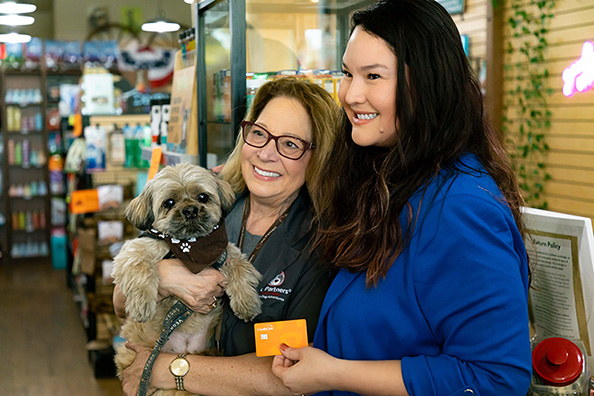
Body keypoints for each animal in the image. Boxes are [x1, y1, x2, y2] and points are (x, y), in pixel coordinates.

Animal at [112, 162, 260, 394]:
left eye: (202, 197)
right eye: (169, 203)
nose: (190, 209)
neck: (189, 245)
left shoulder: (224, 252)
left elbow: (239, 266)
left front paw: (246, 302)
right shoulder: (136, 249)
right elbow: (140, 267)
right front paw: (141, 303)